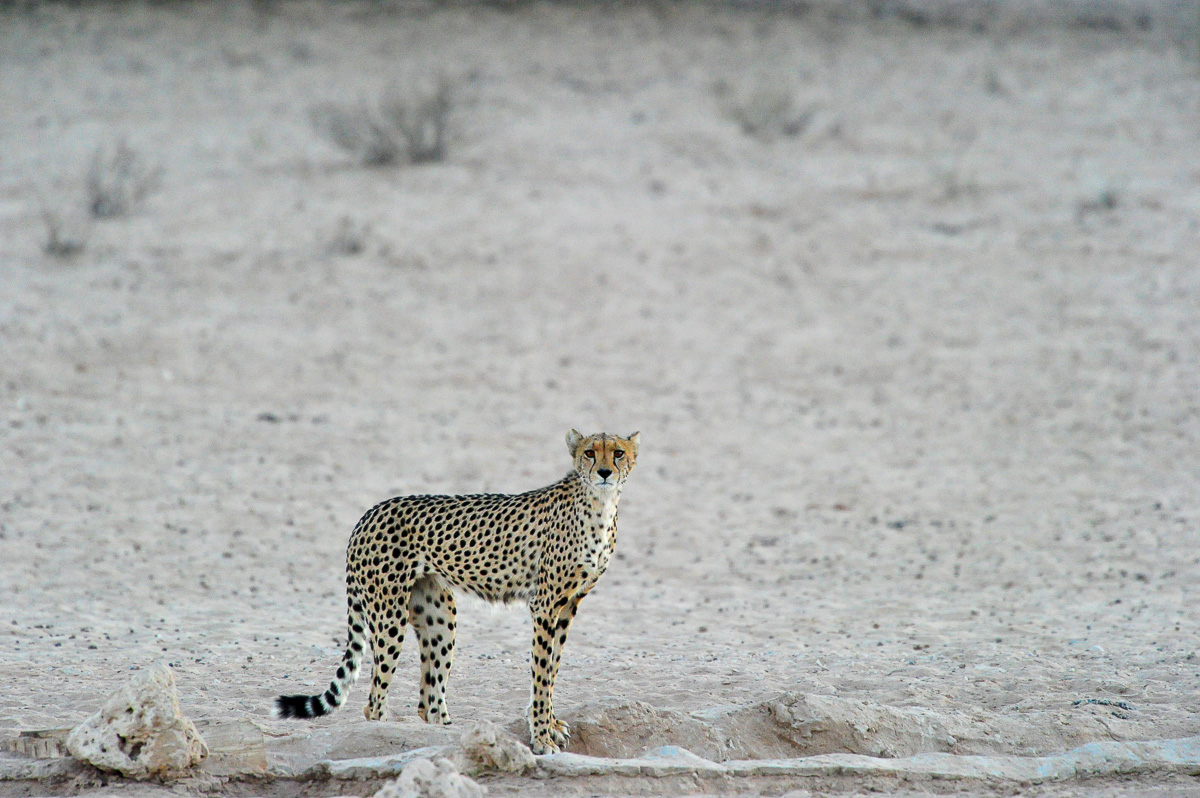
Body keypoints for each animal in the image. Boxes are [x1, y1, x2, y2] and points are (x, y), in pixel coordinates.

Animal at [275, 429, 639, 755]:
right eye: (590, 452)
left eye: (618, 453)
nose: (604, 472)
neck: (600, 504)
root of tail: (369, 513)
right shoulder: (545, 605)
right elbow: (541, 672)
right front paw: (541, 737)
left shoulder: (568, 605)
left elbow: (552, 669)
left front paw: (550, 725)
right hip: (389, 616)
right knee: (375, 700)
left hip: (439, 615)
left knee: (428, 701)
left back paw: (453, 733)